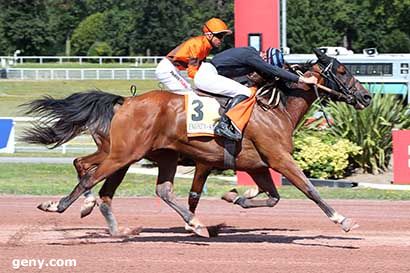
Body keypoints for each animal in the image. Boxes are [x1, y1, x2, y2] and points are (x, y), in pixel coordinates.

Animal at [24, 49, 374, 236]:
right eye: (341, 70)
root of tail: (125, 102)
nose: (367, 97)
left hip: (137, 155)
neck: (274, 109)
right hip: (123, 154)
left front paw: (235, 196)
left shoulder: (256, 165)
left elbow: (271, 197)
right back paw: (59, 205)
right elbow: (310, 189)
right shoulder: (278, 159)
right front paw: (342, 220)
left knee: (129, 187)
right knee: (90, 177)